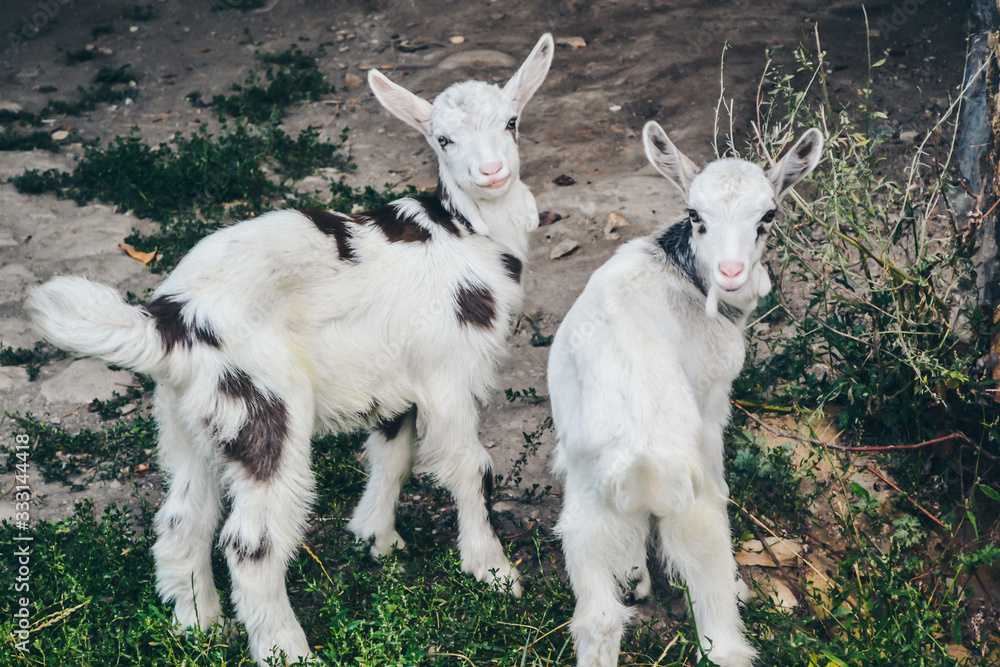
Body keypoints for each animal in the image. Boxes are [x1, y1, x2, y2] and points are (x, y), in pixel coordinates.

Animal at [25, 33, 554, 665]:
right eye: (442, 139)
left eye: (512, 121)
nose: (492, 172)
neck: (466, 233)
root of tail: (172, 321)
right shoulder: (449, 373)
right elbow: (470, 468)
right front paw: (493, 572)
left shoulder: (395, 375)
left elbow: (392, 454)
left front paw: (377, 538)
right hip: (264, 407)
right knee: (248, 542)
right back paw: (286, 649)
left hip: (187, 420)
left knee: (183, 520)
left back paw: (201, 627)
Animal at [548, 121, 823, 667]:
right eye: (695, 215)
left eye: (768, 216)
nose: (732, 273)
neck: (678, 273)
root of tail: (641, 462)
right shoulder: (713, 400)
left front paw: (636, 576)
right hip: (695, 516)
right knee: (721, 637)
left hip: (585, 522)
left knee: (599, 619)